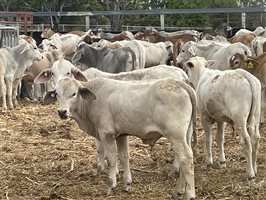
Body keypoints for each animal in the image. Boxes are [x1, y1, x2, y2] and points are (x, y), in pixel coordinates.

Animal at [44, 76, 196, 198]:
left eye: (74, 93)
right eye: (57, 94)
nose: (62, 112)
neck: (93, 101)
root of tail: (178, 83)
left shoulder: (106, 133)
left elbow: (111, 158)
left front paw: (111, 185)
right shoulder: (121, 135)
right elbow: (124, 157)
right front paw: (127, 184)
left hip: (175, 135)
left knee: (186, 158)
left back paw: (189, 194)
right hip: (186, 135)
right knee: (185, 159)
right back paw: (179, 190)